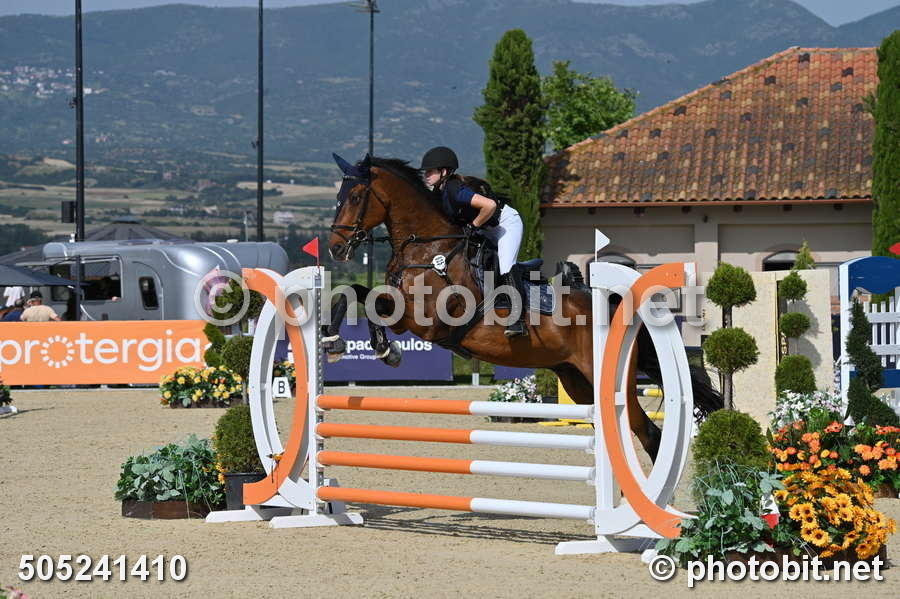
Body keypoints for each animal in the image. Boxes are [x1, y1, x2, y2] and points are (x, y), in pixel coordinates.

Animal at [324, 154, 723, 461]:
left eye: (355, 196)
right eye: (339, 195)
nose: (335, 247)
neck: (428, 247)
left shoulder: (427, 321)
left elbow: (375, 304)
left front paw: (376, 347)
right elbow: (355, 294)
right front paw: (341, 342)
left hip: (611, 381)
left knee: (648, 433)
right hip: (577, 381)